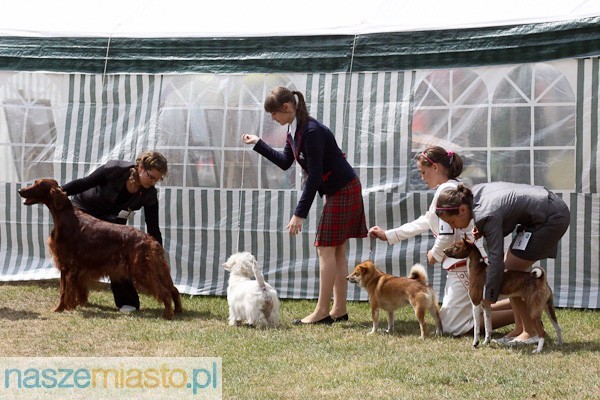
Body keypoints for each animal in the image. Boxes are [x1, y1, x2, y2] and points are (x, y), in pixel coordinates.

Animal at [19, 178, 183, 318]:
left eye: (38, 184)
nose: (20, 190)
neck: (66, 217)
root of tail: (151, 240)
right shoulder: (76, 269)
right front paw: (74, 305)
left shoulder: (67, 266)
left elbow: (63, 292)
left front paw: (59, 309)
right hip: (157, 270)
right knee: (174, 289)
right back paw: (178, 311)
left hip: (142, 271)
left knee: (165, 292)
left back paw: (168, 315)